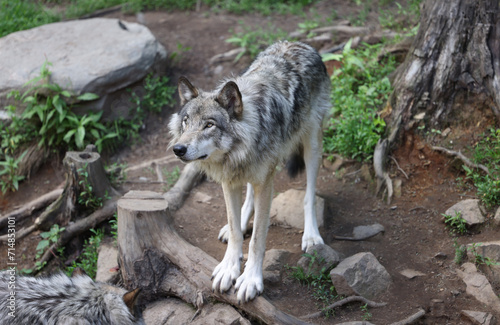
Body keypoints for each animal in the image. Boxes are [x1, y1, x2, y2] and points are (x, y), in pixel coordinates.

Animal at [169, 39, 332, 302]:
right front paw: (229, 267)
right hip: (249, 172)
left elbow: (257, 239)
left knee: (309, 194)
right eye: (186, 122)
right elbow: (236, 230)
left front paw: (251, 279)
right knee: (247, 200)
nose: (178, 149)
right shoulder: (229, 179)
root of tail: (299, 43)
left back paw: (311, 236)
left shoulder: (266, 182)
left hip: (312, 146)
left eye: (209, 125)